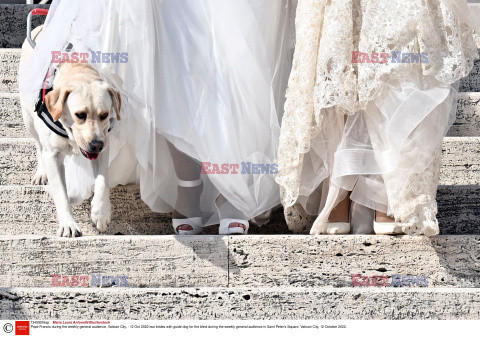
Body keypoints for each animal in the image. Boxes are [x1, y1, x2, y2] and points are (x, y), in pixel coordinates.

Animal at [20, 26, 122, 236]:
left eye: (105, 115)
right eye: (80, 115)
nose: (96, 145)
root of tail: (38, 28)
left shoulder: (104, 147)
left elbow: (103, 180)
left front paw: (101, 213)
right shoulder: (53, 155)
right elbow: (60, 192)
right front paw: (68, 224)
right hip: (29, 119)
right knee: (38, 144)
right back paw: (41, 172)